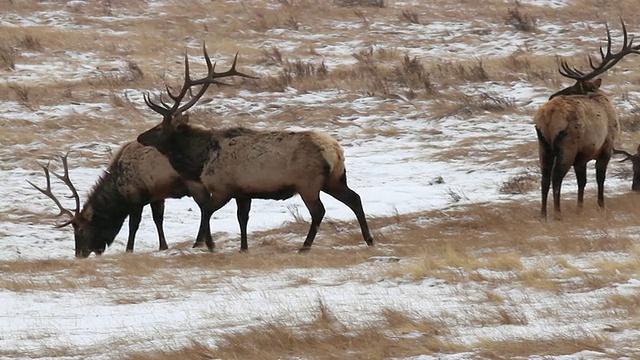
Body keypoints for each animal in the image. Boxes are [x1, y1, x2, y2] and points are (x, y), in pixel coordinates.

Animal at [28, 141, 215, 258]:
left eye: (80, 230)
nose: (79, 254)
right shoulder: (156, 196)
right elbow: (158, 220)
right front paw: (163, 247)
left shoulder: (136, 198)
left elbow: (133, 225)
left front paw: (129, 250)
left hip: (194, 182)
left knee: (205, 208)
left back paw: (199, 242)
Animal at [136, 45, 376, 253]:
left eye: (158, 128)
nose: (140, 137)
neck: (201, 158)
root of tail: (335, 151)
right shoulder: (243, 192)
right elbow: (242, 218)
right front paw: (243, 247)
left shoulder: (223, 187)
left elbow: (206, 212)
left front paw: (210, 245)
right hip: (334, 179)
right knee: (355, 198)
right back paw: (369, 239)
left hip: (308, 183)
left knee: (319, 211)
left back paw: (305, 246)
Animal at [532, 20, 636, 219]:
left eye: (573, 88)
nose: (551, 95)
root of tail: (548, 116)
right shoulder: (606, 147)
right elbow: (600, 178)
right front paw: (601, 205)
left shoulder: (582, 157)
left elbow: (582, 181)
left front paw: (579, 207)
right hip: (567, 144)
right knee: (557, 176)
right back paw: (557, 213)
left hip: (543, 144)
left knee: (545, 177)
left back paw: (543, 214)